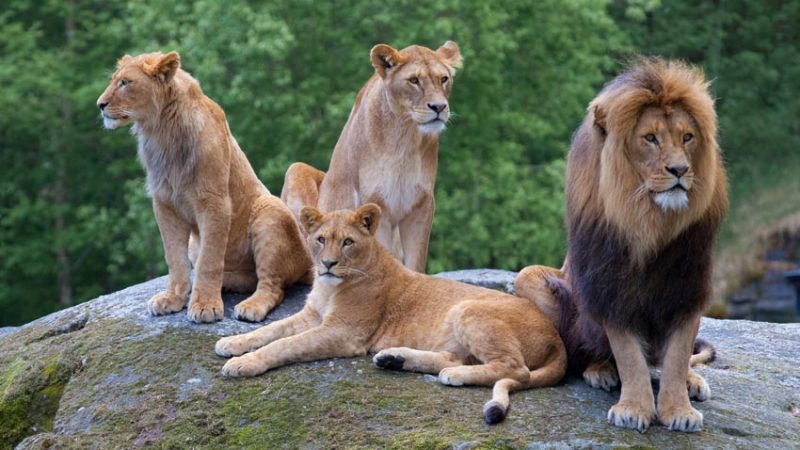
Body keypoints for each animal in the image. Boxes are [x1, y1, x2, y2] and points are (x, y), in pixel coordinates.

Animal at [97, 52, 312, 324]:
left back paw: (250, 306)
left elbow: (210, 259)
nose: (99, 105)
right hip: (196, 243)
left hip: (269, 208)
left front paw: (205, 306)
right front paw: (173, 298)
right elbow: (175, 258)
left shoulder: (215, 202)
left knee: (273, 285)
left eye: (125, 82)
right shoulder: (164, 203)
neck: (162, 132)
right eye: (114, 80)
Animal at [211, 204, 564, 426]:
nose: (327, 263)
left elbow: (283, 345)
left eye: (348, 242)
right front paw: (233, 342)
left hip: (468, 309)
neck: (331, 287)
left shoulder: (344, 332)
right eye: (320, 239)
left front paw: (244, 363)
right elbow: (271, 331)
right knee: (456, 358)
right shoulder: (311, 315)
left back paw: (452, 376)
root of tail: (556, 336)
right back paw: (394, 359)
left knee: (516, 370)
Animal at [280, 42, 462, 272]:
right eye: (414, 80)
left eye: (443, 79)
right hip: (295, 169)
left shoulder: (421, 203)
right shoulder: (377, 201)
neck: (406, 136)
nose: (439, 107)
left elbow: (415, 261)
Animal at [516, 56, 728, 432]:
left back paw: (694, 381)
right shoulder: (610, 284)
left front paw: (679, 410)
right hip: (529, 279)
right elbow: (628, 356)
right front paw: (633, 409)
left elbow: (677, 355)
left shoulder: (689, 286)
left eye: (687, 137)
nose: (680, 170)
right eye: (650, 138)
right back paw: (600, 371)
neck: (650, 222)